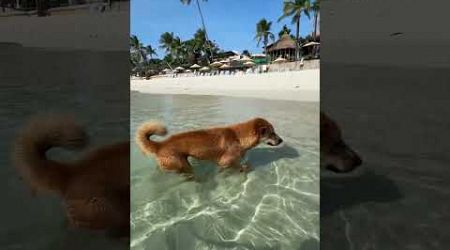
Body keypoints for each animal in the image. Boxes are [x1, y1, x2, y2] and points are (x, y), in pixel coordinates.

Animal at [134, 117, 282, 174]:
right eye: (272, 133)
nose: (281, 140)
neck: (238, 137)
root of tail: (160, 145)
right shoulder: (225, 162)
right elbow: (239, 166)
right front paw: (245, 168)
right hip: (182, 165)